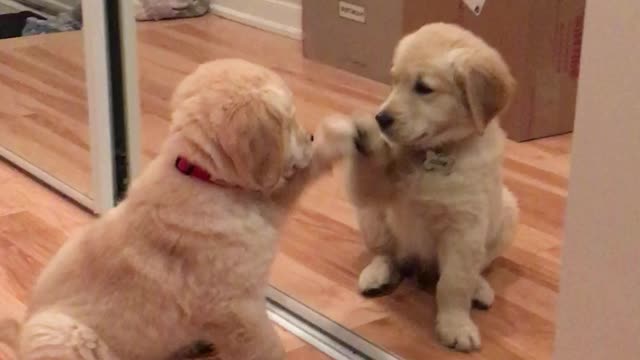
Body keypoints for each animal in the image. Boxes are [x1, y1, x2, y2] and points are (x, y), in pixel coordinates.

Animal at [0, 59, 338, 360]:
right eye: (289, 120)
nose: (309, 136)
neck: (202, 175)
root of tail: (20, 332)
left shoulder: (267, 204)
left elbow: (298, 180)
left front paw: (338, 136)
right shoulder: (236, 307)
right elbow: (266, 347)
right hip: (60, 332)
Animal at [330, 23, 520, 352]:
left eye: (423, 88)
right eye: (393, 81)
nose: (381, 118)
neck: (432, 155)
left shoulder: (464, 228)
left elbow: (454, 282)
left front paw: (455, 325)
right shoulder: (374, 191)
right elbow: (369, 176)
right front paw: (365, 131)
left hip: (507, 212)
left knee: (478, 266)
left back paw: (479, 289)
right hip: (371, 219)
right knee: (387, 253)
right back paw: (377, 273)